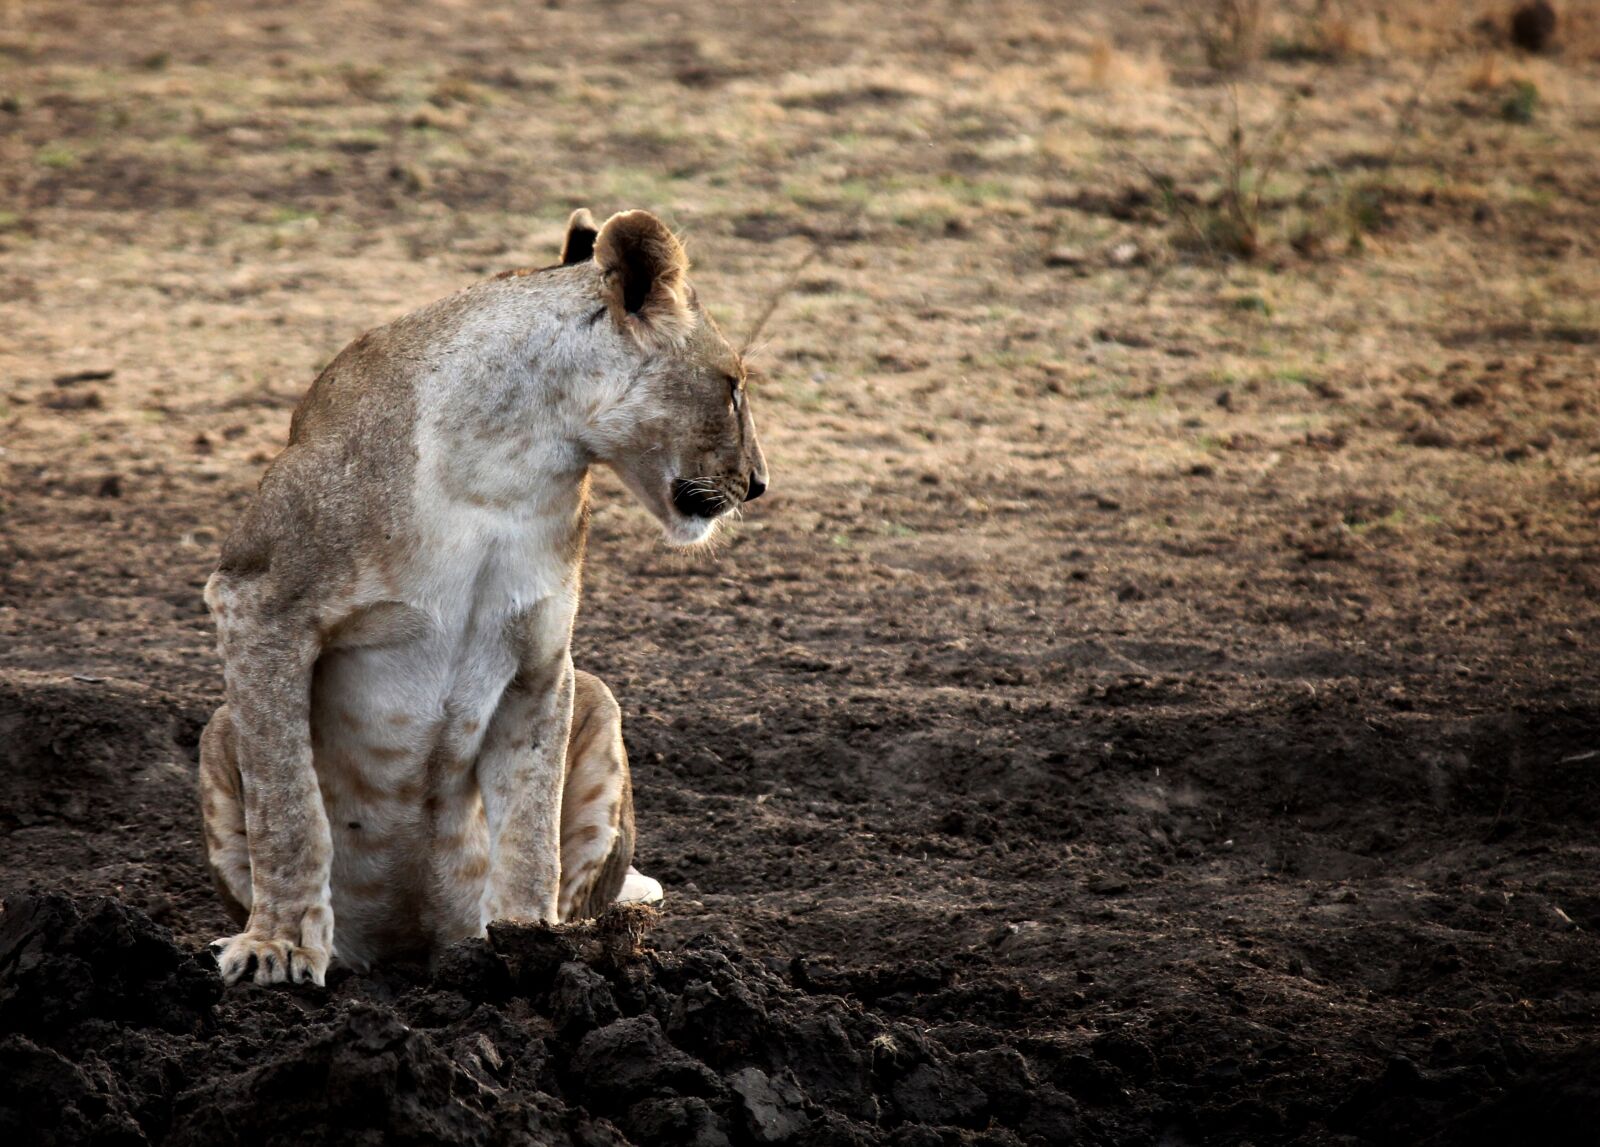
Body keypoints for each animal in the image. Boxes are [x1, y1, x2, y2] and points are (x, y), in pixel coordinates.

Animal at [197, 208, 767, 985]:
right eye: (732, 384)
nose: (760, 483)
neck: (509, 461)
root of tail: (410, 943)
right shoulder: (259, 599)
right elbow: (287, 805)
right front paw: (277, 946)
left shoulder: (542, 661)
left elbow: (530, 822)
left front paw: (530, 947)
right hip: (218, 726)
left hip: (598, 697)